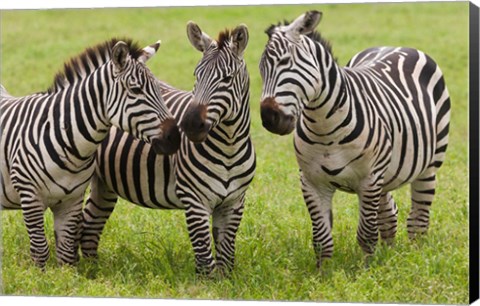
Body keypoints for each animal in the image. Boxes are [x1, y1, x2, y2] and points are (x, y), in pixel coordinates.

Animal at [0, 38, 181, 268]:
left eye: (159, 88)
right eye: (135, 90)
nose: (175, 138)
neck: (69, 143)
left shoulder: (72, 200)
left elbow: (66, 255)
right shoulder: (29, 195)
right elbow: (40, 252)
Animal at [80, 22, 256, 274]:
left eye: (227, 78)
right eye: (196, 75)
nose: (189, 125)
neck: (229, 146)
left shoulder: (234, 202)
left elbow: (226, 258)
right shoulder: (194, 200)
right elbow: (205, 257)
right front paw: (207, 282)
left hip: (105, 183)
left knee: (90, 223)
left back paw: (92, 271)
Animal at [258, 10, 450, 268]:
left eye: (285, 62)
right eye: (260, 68)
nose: (270, 119)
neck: (325, 129)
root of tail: (398, 46)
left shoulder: (369, 179)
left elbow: (366, 233)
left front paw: (366, 269)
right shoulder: (310, 182)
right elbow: (321, 238)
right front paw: (324, 272)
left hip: (428, 166)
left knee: (418, 220)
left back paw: (416, 256)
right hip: (386, 173)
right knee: (390, 213)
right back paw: (389, 253)